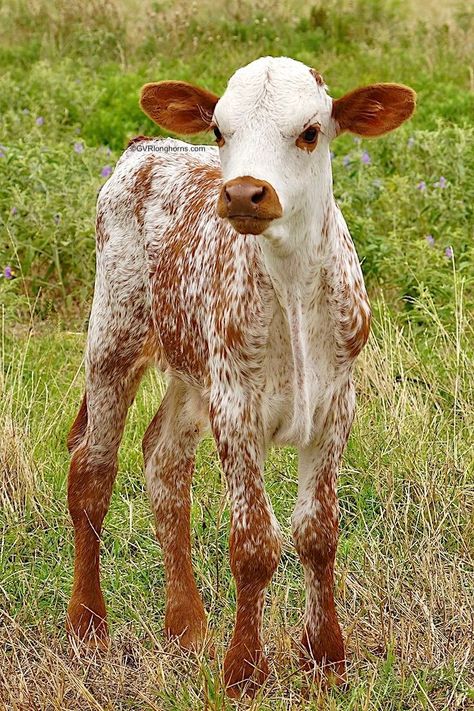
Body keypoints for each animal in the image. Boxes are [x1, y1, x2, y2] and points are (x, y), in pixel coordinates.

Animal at [66, 57, 414, 700]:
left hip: (192, 370)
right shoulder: (236, 409)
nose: (245, 192)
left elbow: (318, 533)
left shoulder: (336, 404)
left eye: (310, 132)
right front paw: (244, 672)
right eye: (221, 129)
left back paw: (187, 626)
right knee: (92, 472)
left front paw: (326, 660)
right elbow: (254, 544)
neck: (292, 285)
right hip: (113, 337)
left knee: (163, 461)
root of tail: (146, 147)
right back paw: (88, 624)